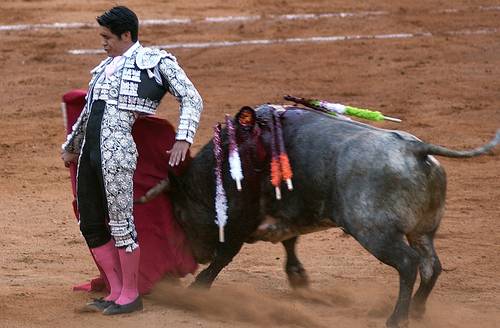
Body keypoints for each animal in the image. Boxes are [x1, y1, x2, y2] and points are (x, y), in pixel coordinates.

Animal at [137, 105, 500, 328]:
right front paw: (298, 277)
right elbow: (290, 240)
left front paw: (197, 288)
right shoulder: (290, 210)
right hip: (423, 231)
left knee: (409, 264)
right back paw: (419, 310)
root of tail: (416, 149)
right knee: (430, 266)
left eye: (181, 214)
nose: (196, 255)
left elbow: (227, 254)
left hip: (376, 232)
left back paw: (397, 318)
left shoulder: (240, 218)